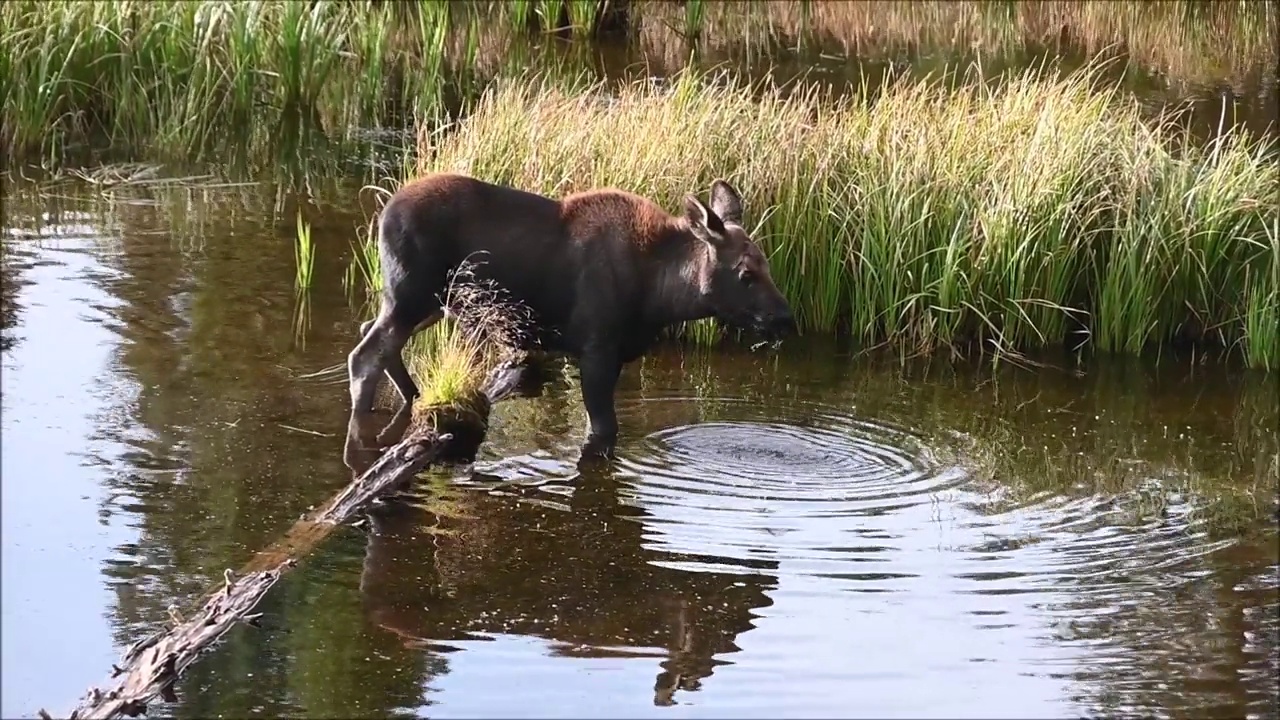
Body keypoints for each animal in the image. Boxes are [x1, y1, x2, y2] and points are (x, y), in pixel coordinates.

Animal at [345, 174, 793, 466]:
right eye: (746, 274)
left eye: (769, 265)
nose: (785, 318)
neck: (660, 295)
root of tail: (383, 215)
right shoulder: (596, 349)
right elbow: (603, 430)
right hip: (412, 295)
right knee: (365, 353)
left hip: (426, 304)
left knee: (373, 335)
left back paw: (416, 398)